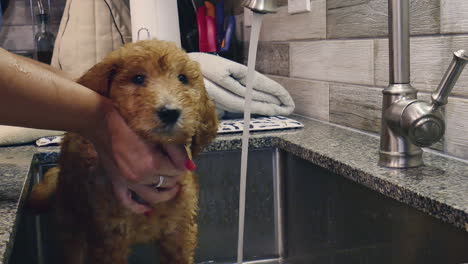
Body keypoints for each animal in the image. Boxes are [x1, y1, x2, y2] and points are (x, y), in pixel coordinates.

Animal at [29, 39, 219, 264]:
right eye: (138, 78)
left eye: (183, 78)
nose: (170, 112)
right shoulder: (109, 240)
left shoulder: (179, 234)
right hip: (72, 218)